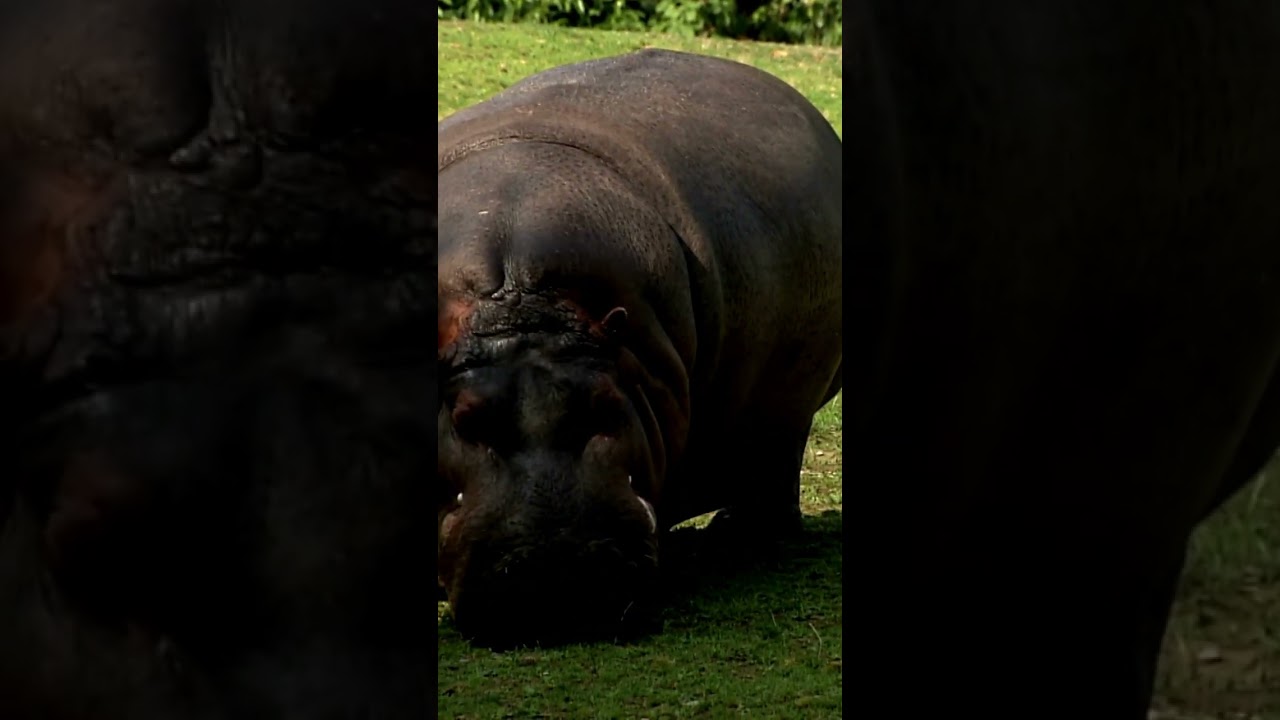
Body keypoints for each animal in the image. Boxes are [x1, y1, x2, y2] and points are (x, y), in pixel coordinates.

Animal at [437, 49, 843, 646]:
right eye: (465, 421)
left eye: (609, 405)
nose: (552, 570)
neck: (520, 296)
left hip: (788, 404)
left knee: (773, 478)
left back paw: (728, 537)